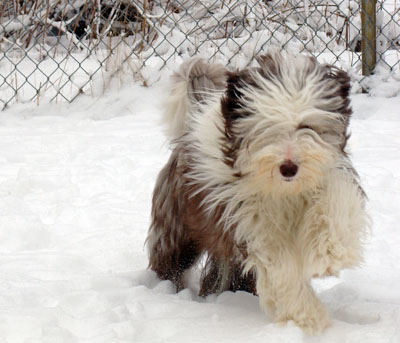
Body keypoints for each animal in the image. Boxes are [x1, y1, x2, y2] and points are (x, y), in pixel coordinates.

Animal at [145, 51, 368, 336]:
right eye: (267, 128)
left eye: (306, 126)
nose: (288, 167)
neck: (285, 191)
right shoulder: (250, 221)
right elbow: (281, 266)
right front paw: (309, 318)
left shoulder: (332, 175)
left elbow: (336, 204)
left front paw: (330, 253)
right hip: (178, 229)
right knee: (171, 262)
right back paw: (166, 290)